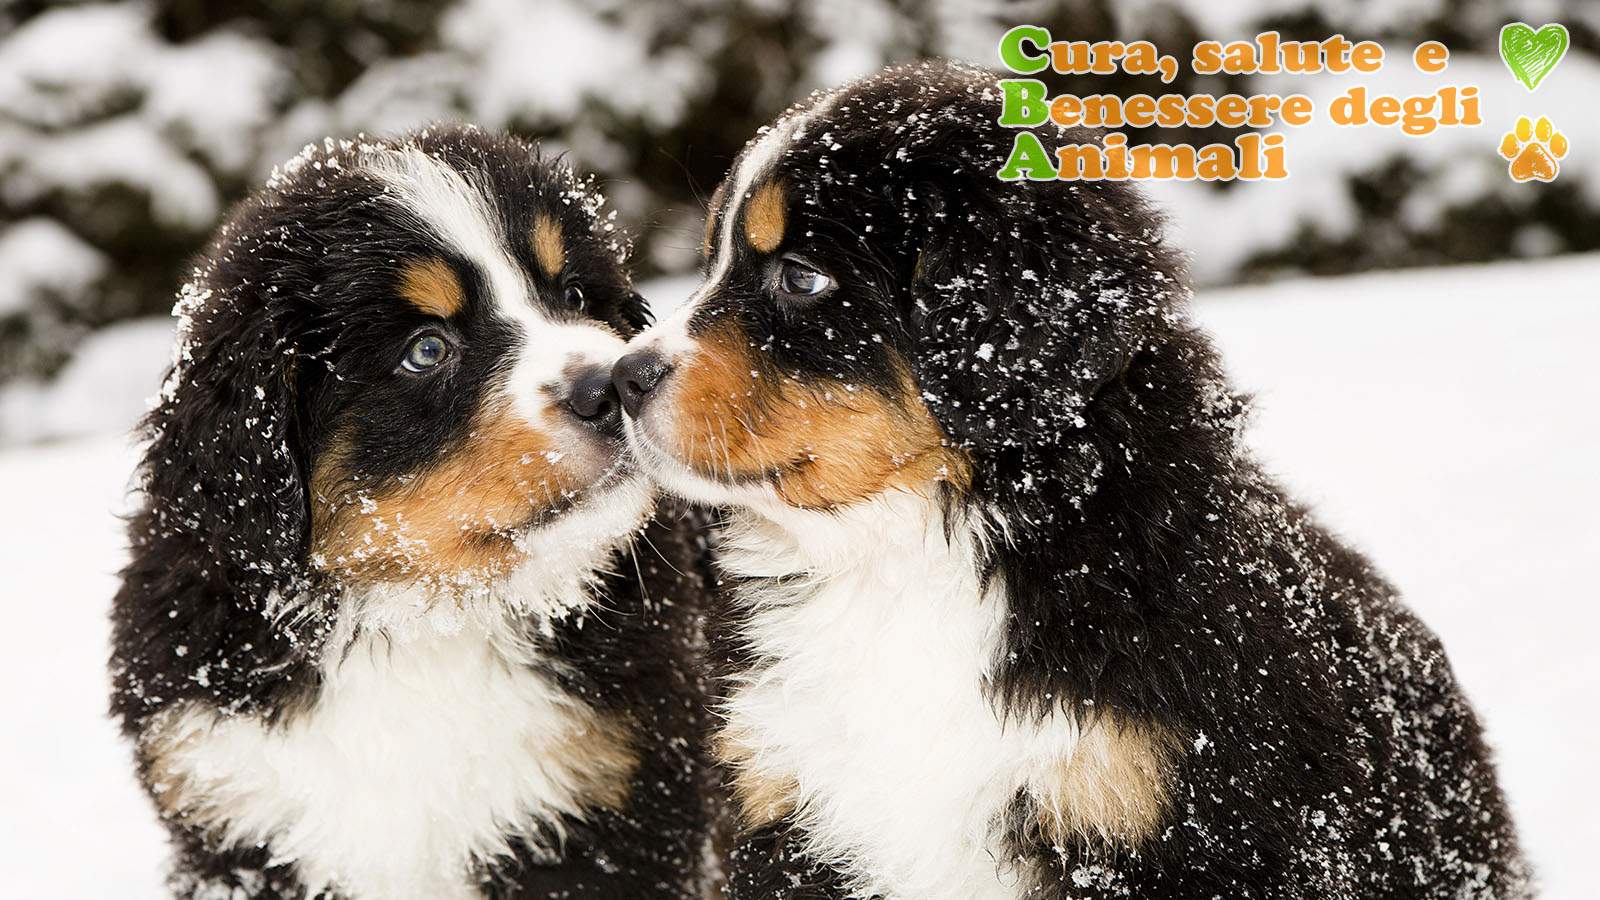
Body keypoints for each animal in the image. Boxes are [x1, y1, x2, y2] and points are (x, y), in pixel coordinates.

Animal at [116, 128, 723, 896]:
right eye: (426, 350)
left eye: (575, 293)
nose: (610, 385)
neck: (422, 619)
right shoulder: (234, 819)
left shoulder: (614, 809)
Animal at [608, 61, 1523, 896]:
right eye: (711, 262)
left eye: (802, 277)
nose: (622, 379)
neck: (905, 558)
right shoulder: (785, 806)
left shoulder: (1165, 816)